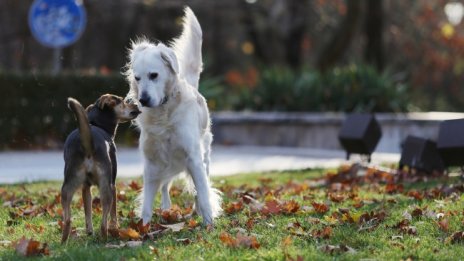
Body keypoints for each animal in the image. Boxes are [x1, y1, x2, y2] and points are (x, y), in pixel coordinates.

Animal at [62, 94, 141, 242]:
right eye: (123, 101)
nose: (137, 104)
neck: (96, 123)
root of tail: (88, 145)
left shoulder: (85, 187)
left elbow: (88, 211)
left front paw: (89, 231)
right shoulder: (113, 185)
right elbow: (114, 213)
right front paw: (115, 227)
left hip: (67, 187)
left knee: (67, 219)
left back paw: (64, 241)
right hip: (106, 187)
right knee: (104, 223)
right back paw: (106, 238)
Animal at [124, 7, 222, 224]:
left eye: (154, 75)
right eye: (137, 78)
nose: (143, 99)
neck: (164, 115)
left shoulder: (193, 158)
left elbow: (203, 194)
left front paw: (208, 223)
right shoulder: (152, 163)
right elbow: (147, 204)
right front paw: (143, 227)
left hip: (204, 157)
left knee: (199, 188)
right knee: (165, 187)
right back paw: (166, 208)